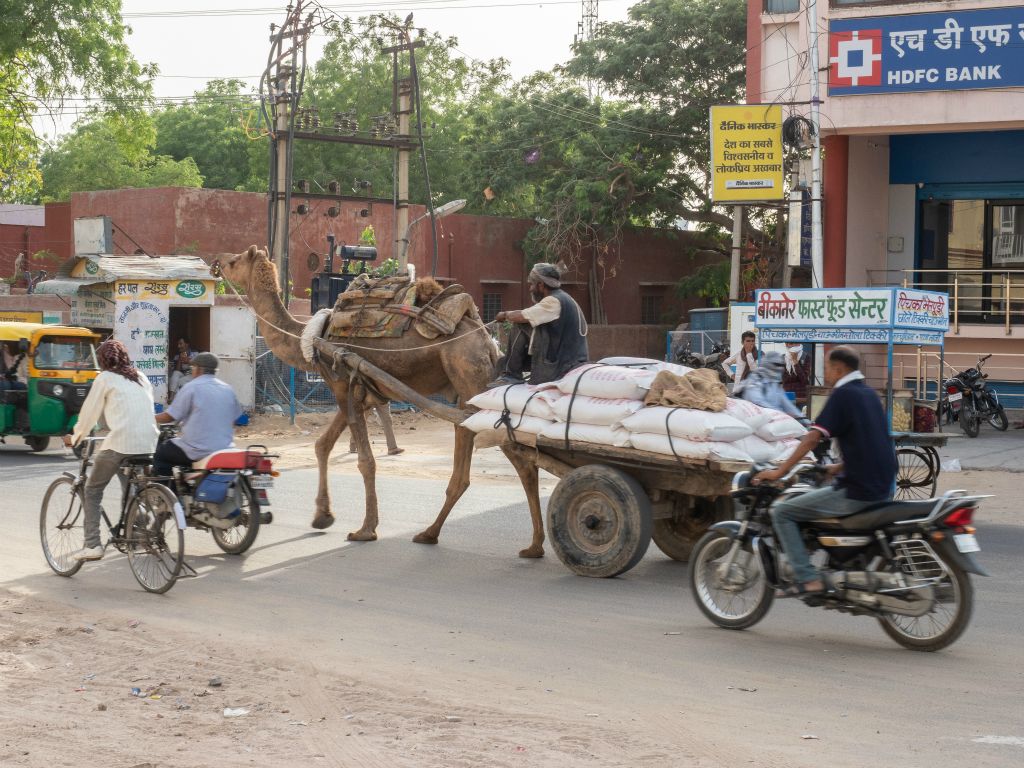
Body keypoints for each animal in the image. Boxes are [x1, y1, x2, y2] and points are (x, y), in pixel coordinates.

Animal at [214, 246, 544, 561]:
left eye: (236, 261)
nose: (217, 261)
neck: (311, 339)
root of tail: (488, 343)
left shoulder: (342, 386)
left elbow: (365, 461)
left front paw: (365, 529)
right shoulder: (357, 393)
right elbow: (323, 445)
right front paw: (322, 516)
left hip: (469, 374)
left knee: (520, 460)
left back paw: (532, 544)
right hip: (469, 388)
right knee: (473, 466)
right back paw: (441, 534)